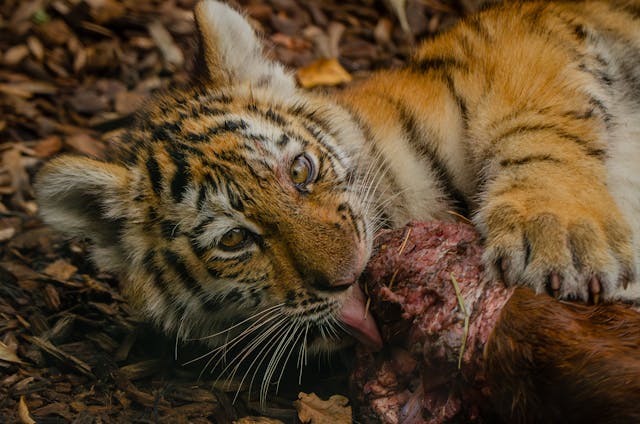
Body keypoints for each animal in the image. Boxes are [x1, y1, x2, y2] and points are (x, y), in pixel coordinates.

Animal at [35, 0, 640, 395]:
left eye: (300, 170)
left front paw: (559, 232)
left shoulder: (518, 44)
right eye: (234, 240)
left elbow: (536, 129)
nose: (350, 273)